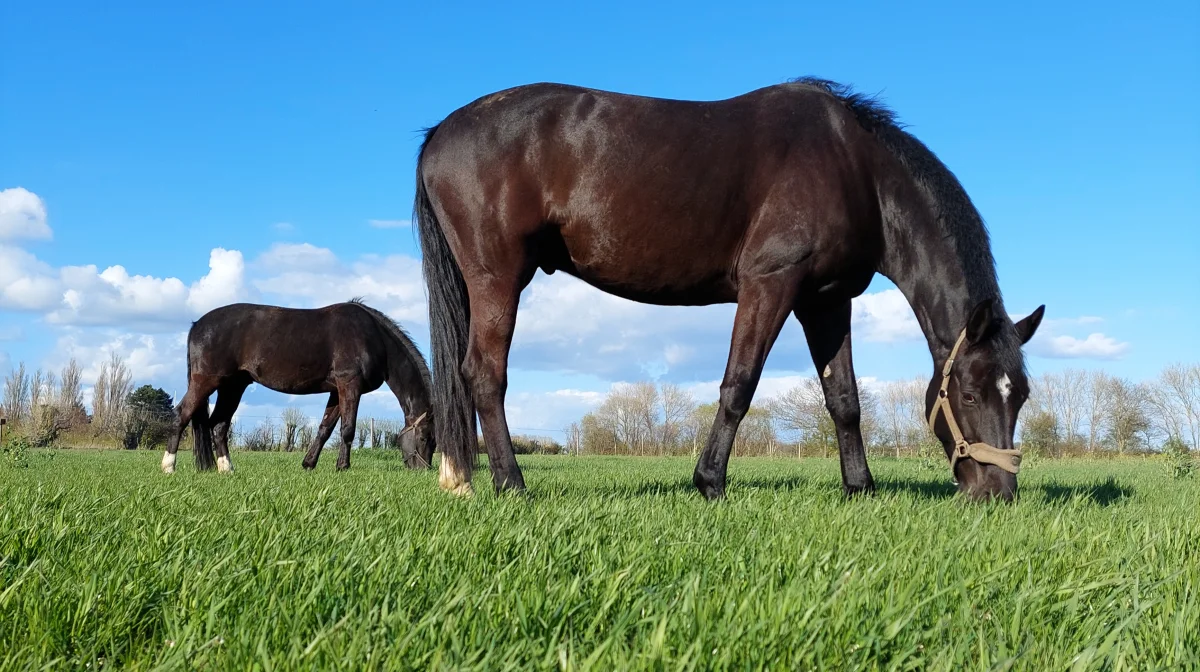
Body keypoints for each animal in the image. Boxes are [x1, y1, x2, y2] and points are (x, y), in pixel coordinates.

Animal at [162, 296, 434, 475]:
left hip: (233, 386)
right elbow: (347, 429)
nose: (423, 469)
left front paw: (308, 464)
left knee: (218, 424)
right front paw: (342, 467)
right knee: (181, 416)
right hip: (206, 381)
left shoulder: (336, 390)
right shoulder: (349, 385)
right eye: (425, 437)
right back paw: (168, 466)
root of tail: (197, 324)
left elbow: (325, 428)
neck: (373, 336)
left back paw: (226, 468)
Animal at [417, 77, 1046, 499]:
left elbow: (844, 399)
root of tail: (438, 133)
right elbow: (739, 384)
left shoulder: (826, 299)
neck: (855, 169)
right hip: (498, 279)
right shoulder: (771, 283)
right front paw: (709, 482)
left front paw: (860, 489)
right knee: (484, 375)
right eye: (970, 395)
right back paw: (510, 484)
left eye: (1019, 395)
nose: (997, 492)